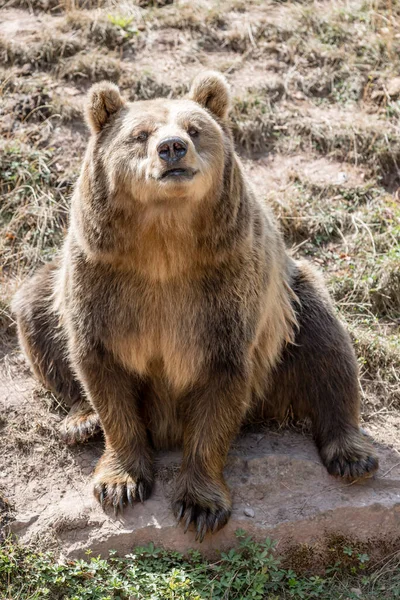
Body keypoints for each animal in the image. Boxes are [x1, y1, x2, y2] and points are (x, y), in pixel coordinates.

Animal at [13, 72, 378, 540]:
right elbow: (102, 369)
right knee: (36, 313)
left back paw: (351, 454)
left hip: (290, 303)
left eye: (194, 128)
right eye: (140, 134)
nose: (172, 148)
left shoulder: (223, 292)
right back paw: (81, 421)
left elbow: (220, 384)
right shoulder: (103, 281)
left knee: (327, 346)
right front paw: (120, 483)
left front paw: (199, 505)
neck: (164, 247)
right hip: (52, 289)